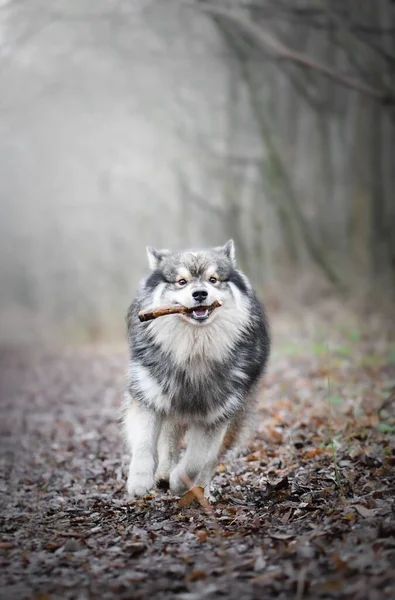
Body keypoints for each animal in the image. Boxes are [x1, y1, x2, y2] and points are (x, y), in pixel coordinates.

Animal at [124, 241, 270, 500]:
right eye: (181, 281)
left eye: (213, 280)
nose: (200, 293)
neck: (194, 348)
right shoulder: (146, 398)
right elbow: (144, 444)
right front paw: (139, 481)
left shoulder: (215, 416)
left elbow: (196, 460)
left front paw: (180, 482)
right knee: (168, 442)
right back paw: (163, 474)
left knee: (209, 461)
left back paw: (200, 491)